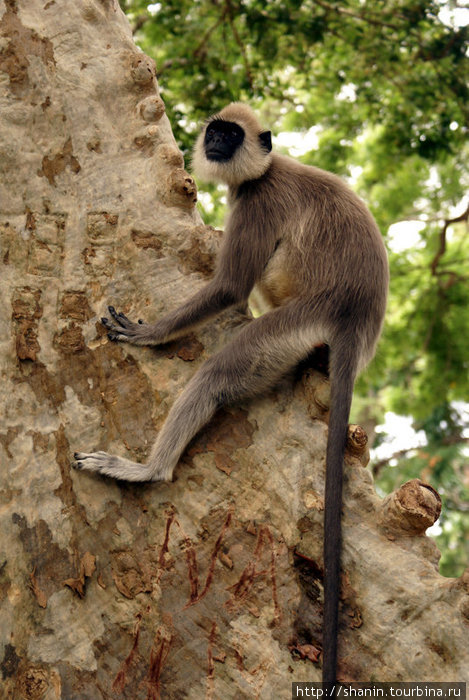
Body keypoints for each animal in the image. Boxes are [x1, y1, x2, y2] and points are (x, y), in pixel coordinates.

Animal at [73, 102, 388, 684]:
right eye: (215, 131)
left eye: (231, 134)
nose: (216, 143)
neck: (264, 170)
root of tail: (356, 319)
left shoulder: (257, 201)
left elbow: (230, 288)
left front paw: (150, 335)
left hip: (296, 322)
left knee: (220, 370)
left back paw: (148, 470)